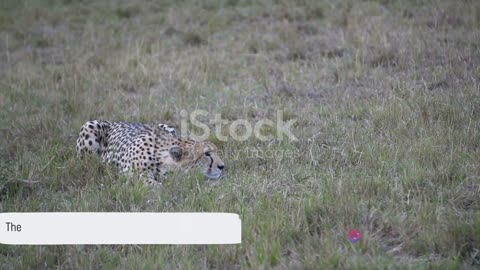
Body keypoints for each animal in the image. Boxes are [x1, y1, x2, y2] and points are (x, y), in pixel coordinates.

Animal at [75, 120, 225, 186]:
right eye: (207, 154)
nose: (222, 166)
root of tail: (114, 122)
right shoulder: (128, 172)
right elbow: (148, 181)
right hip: (90, 127)